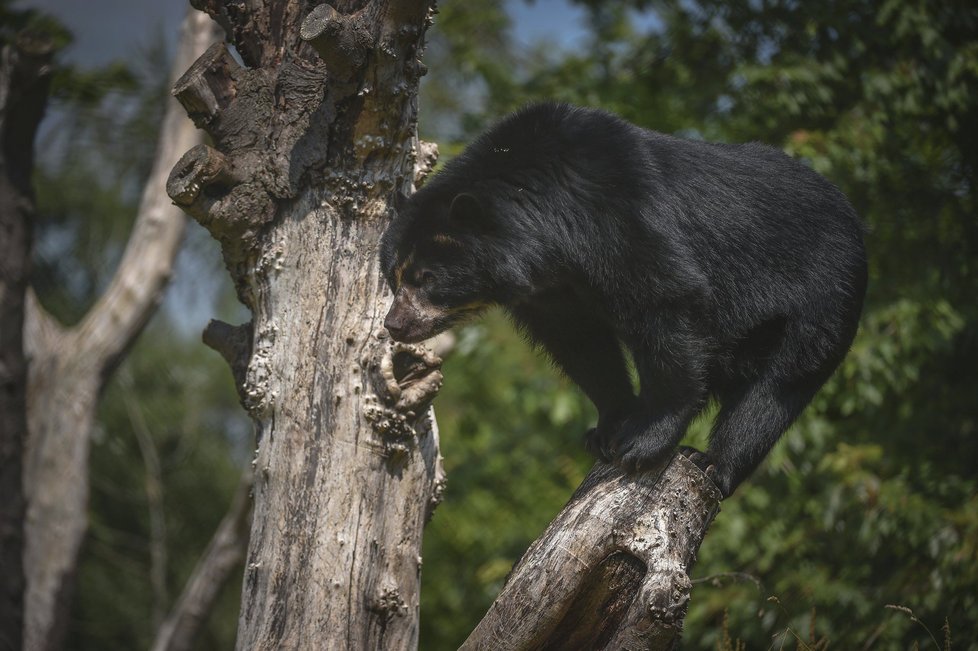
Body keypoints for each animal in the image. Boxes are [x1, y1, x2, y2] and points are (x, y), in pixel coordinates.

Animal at [378, 103, 864, 500]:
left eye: (427, 279)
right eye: (394, 277)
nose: (394, 324)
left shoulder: (620, 214)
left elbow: (666, 302)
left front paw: (642, 442)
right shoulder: (551, 290)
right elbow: (581, 344)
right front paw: (607, 429)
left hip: (820, 298)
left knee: (775, 391)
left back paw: (713, 464)